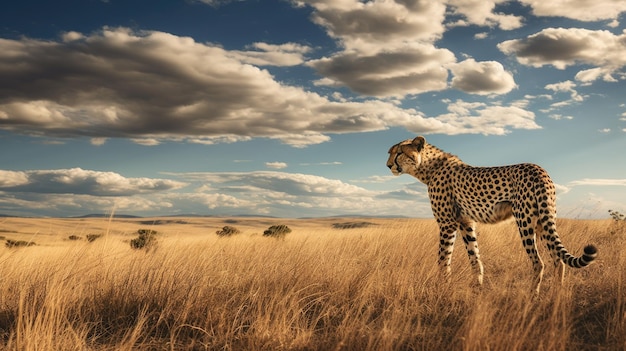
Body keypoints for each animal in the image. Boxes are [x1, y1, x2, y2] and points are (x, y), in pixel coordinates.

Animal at [386, 136, 596, 292]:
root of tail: (538, 169)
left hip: (525, 221)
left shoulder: (447, 224)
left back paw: (532, 297)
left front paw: (442, 287)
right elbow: (474, 256)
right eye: (391, 152)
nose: (388, 165)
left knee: (539, 262)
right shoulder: (466, 222)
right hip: (543, 221)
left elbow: (443, 258)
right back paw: (557, 294)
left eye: (399, 153)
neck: (429, 167)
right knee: (558, 260)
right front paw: (476, 286)